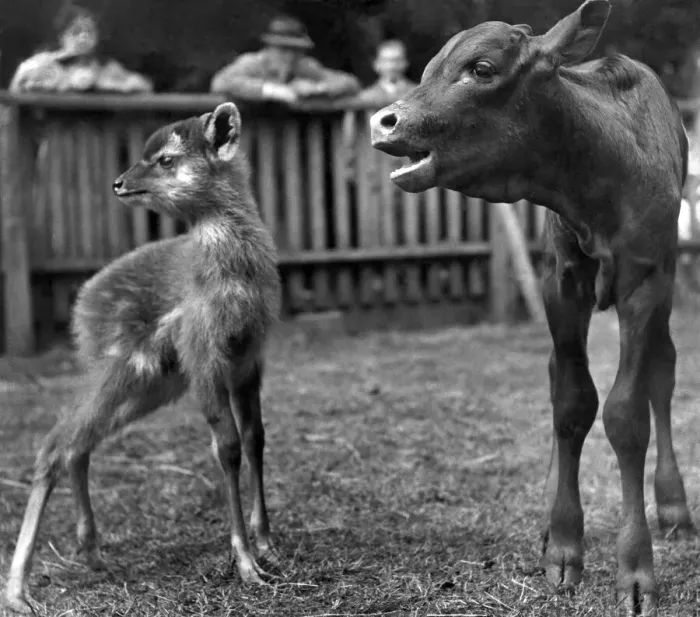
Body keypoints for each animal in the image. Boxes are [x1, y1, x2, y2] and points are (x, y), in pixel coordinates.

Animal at [3, 102, 281, 614]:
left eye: (166, 159)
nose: (118, 182)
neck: (234, 282)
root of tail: (81, 309)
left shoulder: (249, 357)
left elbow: (255, 438)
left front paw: (268, 545)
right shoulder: (203, 355)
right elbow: (227, 446)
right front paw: (247, 565)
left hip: (152, 382)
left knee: (77, 443)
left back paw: (92, 551)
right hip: (123, 369)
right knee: (55, 441)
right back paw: (18, 591)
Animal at [369, 1, 694, 613]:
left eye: (481, 68)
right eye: (427, 68)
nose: (385, 121)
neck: (595, 185)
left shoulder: (646, 281)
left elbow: (627, 413)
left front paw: (636, 570)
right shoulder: (558, 282)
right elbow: (571, 402)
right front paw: (564, 544)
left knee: (662, 371)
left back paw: (674, 505)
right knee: (559, 380)